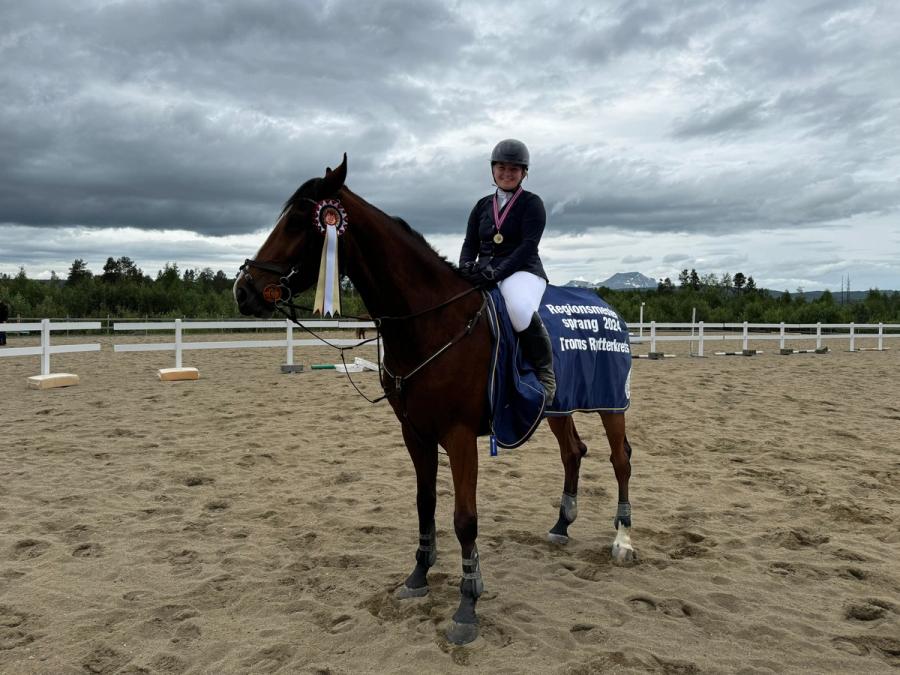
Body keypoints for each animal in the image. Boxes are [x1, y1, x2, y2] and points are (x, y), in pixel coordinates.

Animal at [236, 156, 636, 648]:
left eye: (296, 221)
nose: (243, 290)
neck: (431, 321)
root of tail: (606, 306)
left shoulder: (459, 436)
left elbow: (465, 518)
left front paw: (467, 606)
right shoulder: (415, 432)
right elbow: (424, 502)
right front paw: (418, 576)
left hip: (611, 404)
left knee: (620, 459)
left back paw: (622, 540)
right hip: (556, 407)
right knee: (573, 452)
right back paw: (562, 526)